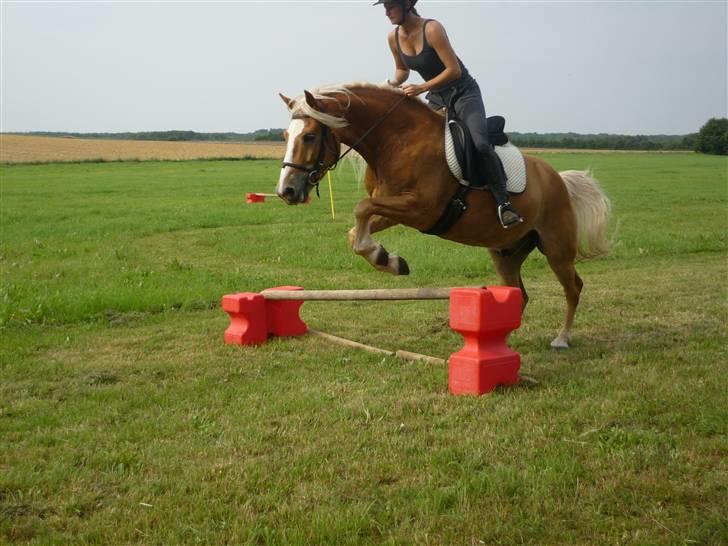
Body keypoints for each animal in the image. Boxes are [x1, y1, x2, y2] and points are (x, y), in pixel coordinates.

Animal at [276, 83, 612, 346]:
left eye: (309, 137)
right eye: (285, 136)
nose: (286, 191)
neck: (396, 139)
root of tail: (559, 179)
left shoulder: (421, 209)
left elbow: (361, 208)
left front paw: (388, 259)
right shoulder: (396, 208)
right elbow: (357, 229)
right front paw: (387, 259)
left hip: (556, 249)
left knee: (573, 288)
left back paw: (562, 338)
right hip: (506, 253)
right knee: (519, 293)